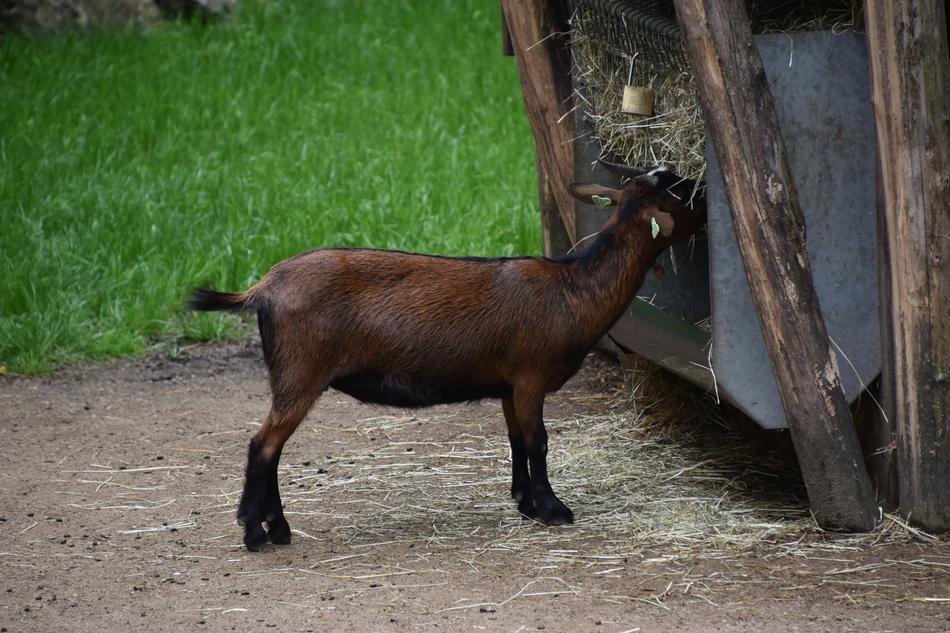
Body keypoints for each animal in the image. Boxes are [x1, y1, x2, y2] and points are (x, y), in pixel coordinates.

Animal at [188, 162, 707, 551]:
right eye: (680, 192)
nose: (706, 204)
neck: (573, 290)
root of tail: (261, 288)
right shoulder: (531, 376)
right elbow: (538, 442)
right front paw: (554, 510)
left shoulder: (508, 384)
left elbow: (516, 441)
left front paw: (524, 503)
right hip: (300, 372)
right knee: (262, 445)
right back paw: (257, 534)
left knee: (271, 449)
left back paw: (277, 529)